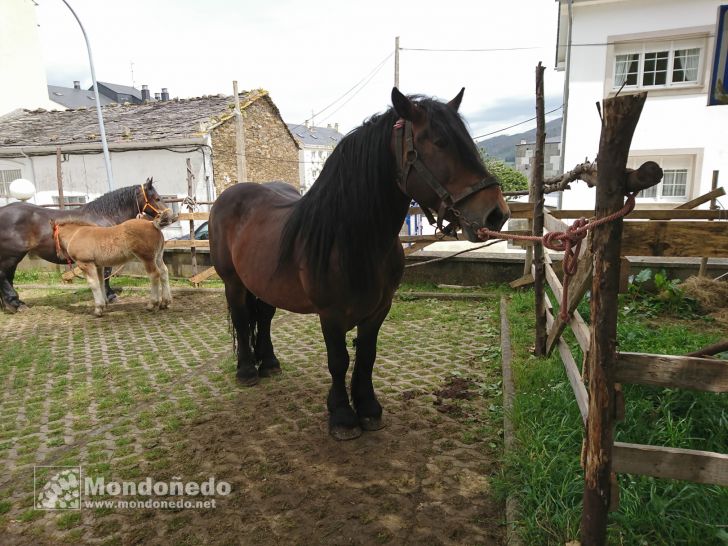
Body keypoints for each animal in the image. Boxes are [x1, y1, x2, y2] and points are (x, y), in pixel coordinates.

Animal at [0, 176, 166, 312]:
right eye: (157, 198)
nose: (167, 216)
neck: (104, 215)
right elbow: (106, 275)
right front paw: (109, 296)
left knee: (8, 277)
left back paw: (10, 305)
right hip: (11, 256)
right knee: (3, 276)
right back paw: (16, 304)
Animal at [208, 88, 510, 438]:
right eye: (439, 142)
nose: (496, 213)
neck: (351, 238)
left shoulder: (379, 309)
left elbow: (367, 356)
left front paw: (368, 408)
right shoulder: (330, 314)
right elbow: (338, 360)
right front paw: (341, 415)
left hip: (265, 284)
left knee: (265, 318)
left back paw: (268, 363)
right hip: (233, 282)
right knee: (243, 319)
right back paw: (246, 369)